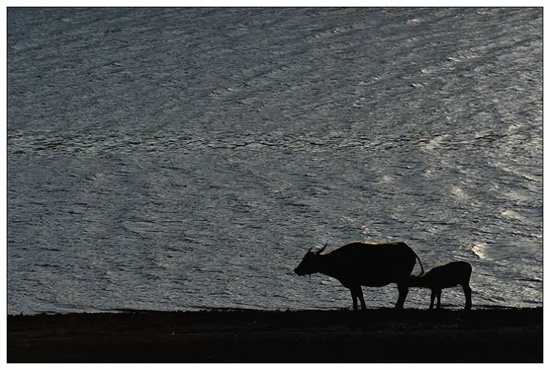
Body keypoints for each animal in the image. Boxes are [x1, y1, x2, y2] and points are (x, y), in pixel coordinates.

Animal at [296, 243, 424, 310]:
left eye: (308, 260)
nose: (296, 270)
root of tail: (410, 250)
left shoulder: (355, 282)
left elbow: (359, 295)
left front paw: (363, 307)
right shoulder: (352, 284)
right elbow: (355, 296)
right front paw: (356, 307)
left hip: (400, 279)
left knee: (403, 292)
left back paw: (397, 307)